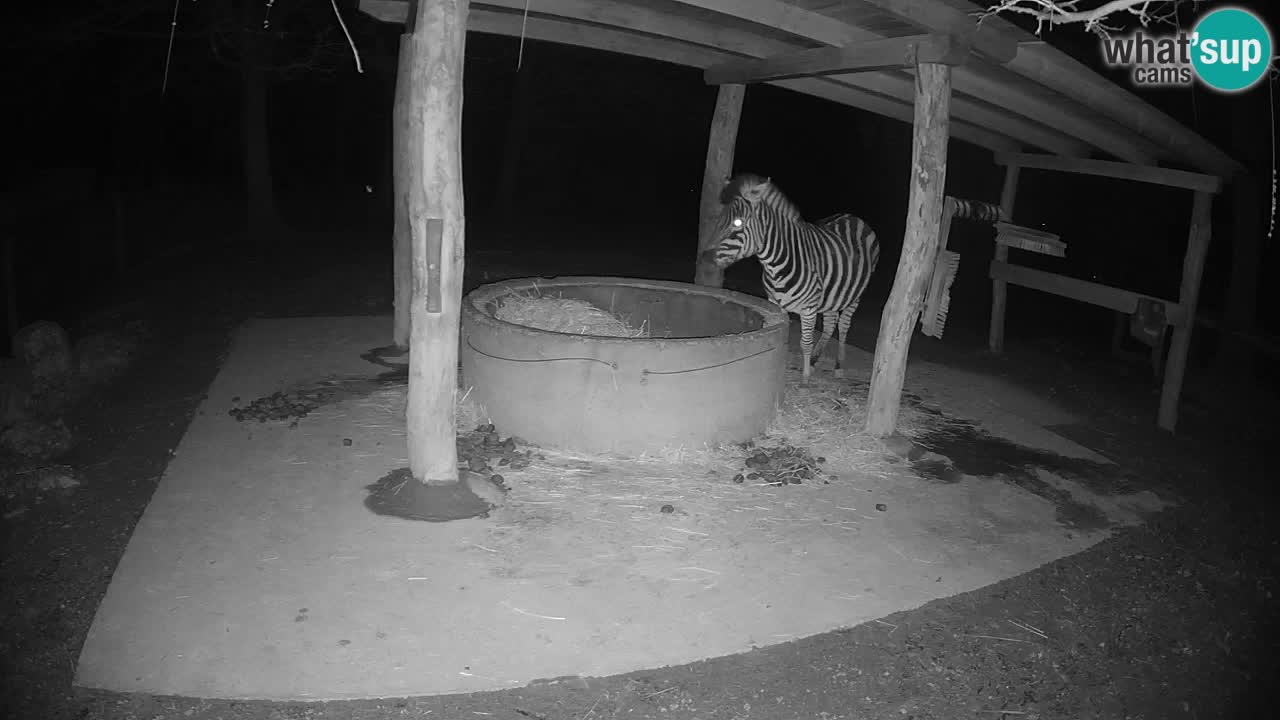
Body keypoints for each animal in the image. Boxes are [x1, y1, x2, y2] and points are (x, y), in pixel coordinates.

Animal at [701, 173, 880, 385]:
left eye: (737, 223)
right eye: (719, 219)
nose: (705, 258)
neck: (776, 266)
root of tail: (853, 216)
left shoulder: (809, 307)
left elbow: (805, 342)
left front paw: (804, 379)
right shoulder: (775, 304)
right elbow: (781, 336)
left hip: (855, 295)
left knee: (843, 326)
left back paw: (838, 366)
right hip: (833, 294)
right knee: (830, 323)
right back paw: (815, 360)